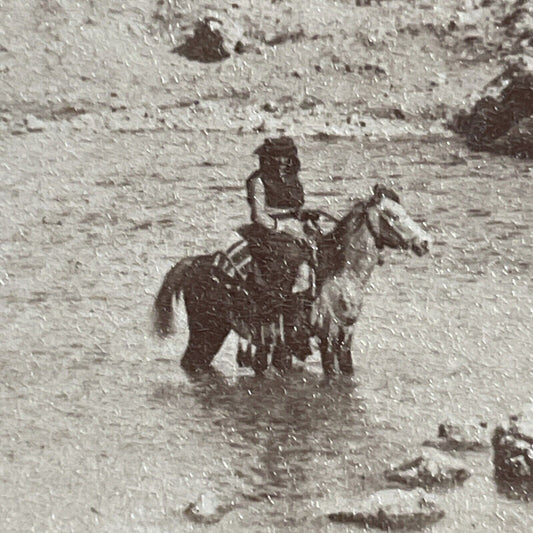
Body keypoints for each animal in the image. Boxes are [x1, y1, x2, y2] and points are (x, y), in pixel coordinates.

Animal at [153, 185, 428, 376]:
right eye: (393, 216)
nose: (425, 242)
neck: (340, 273)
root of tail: (196, 263)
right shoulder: (328, 337)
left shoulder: (345, 335)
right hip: (208, 331)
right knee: (192, 362)